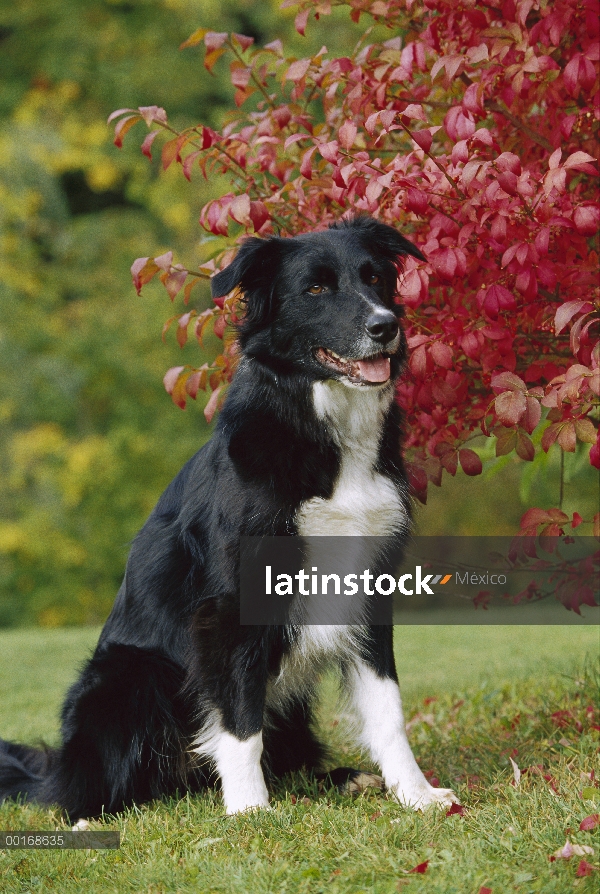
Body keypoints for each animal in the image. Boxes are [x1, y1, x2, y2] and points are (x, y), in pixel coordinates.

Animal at [0, 217, 454, 820]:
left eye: (375, 278)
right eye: (316, 289)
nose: (386, 327)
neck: (320, 429)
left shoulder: (369, 587)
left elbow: (387, 709)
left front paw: (416, 794)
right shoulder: (230, 604)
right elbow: (239, 722)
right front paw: (249, 812)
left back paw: (345, 779)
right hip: (129, 679)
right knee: (84, 791)